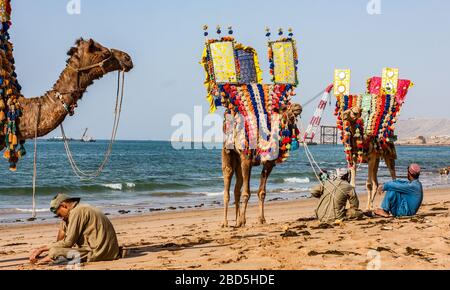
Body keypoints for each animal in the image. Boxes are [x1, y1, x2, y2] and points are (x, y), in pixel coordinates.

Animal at [201, 26, 300, 227]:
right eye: (285, 107)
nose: (298, 107)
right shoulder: (246, 158)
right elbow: (246, 192)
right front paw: (242, 221)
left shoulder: (269, 163)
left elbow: (261, 192)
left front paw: (260, 219)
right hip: (228, 154)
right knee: (228, 184)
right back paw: (226, 222)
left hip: (239, 161)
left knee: (236, 187)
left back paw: (237, 219)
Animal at [332, 69, 414, 210]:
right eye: (347, 109)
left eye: (356, 112)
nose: (344, 115)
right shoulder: (354, 159)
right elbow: (353, 184)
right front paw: (356, 206)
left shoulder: (371, 158)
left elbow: (368, 184)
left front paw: (366, 208)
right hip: (377, 161)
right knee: (376, 182)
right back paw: (370, 205)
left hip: (388, 156)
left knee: (391, 177)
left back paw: (373, 206)